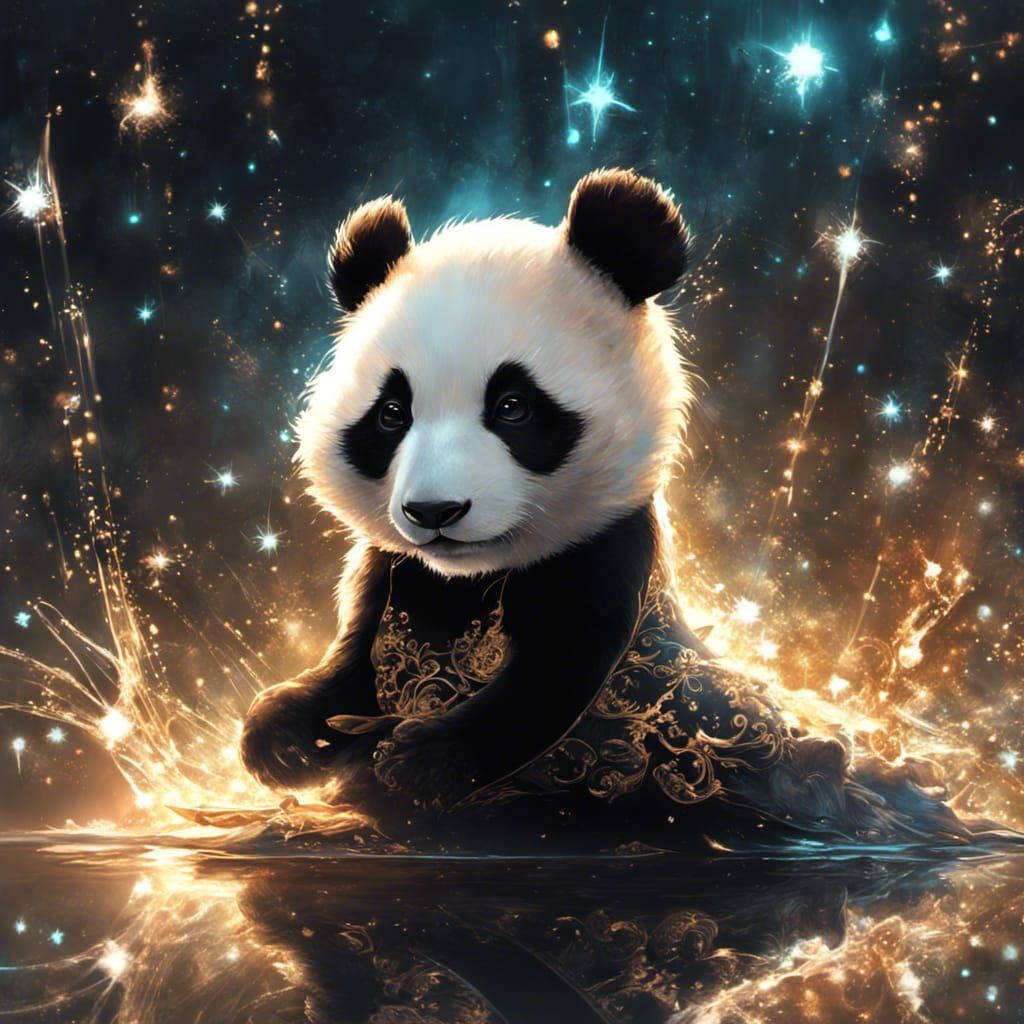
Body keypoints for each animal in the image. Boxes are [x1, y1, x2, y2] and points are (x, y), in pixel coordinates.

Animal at [240, 168, 989, 850]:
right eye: (392, 413)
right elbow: (354, 663)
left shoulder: (602, 554)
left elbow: (553, 678)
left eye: (513, 406)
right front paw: (279, 735)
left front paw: (418, 758)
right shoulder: (388, 568)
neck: (466, 581)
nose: (435, 511)